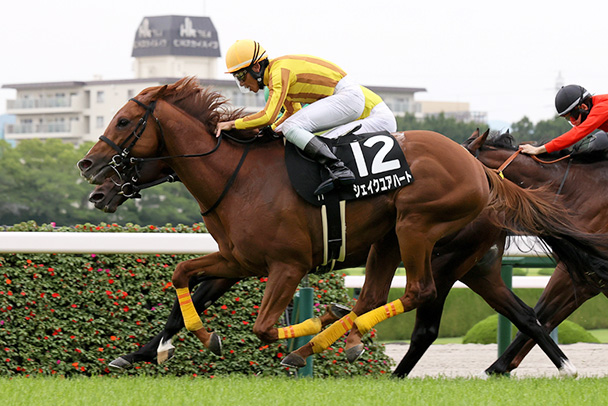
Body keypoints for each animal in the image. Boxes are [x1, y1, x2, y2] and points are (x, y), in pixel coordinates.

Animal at [77, 78, 608, 374]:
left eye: (123, 121)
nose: (90, 172)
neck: (237, 177)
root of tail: (480, 169)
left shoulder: (286, 264)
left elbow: (265, 327)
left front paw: (311, 330)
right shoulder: (239, 258)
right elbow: (185, 278)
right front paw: (157, 348)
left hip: (420, 231)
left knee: (418, 299)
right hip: (433, 252)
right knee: (521, 314)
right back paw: (555, 368)